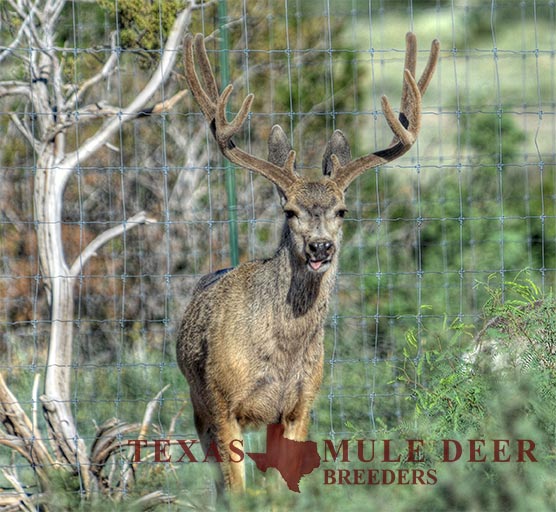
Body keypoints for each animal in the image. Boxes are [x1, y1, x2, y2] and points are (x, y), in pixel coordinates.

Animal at [177, 33, 438, 496]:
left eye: (342, 211)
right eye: (290, 211)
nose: (320, 247)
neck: (283, 349)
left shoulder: (301, 404)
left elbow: (281, 488)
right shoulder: (223, 402)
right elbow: (238, 490)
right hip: (197, 404)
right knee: (218, 482)